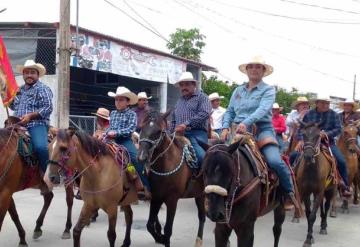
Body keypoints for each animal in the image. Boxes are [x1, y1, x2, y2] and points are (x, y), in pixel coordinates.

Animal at [0, 118, 74, 246]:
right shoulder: (7, 193)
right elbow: (14, 215)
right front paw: (22, 239)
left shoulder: (6, 192)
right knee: (48, 197)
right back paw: (38, 227)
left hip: (68, 178)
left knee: (69, 200)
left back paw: (67, 229)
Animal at [137, 111, 205, 247]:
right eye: (141, 127)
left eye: (159, 131)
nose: (142, 156)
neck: (166, 165)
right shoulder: (156, 197)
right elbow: (149, 225)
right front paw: (160, 238)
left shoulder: (172, 200)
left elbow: (168, 229)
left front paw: (163, 238)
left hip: (203, 194)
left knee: (202, 216)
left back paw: (199, 240)